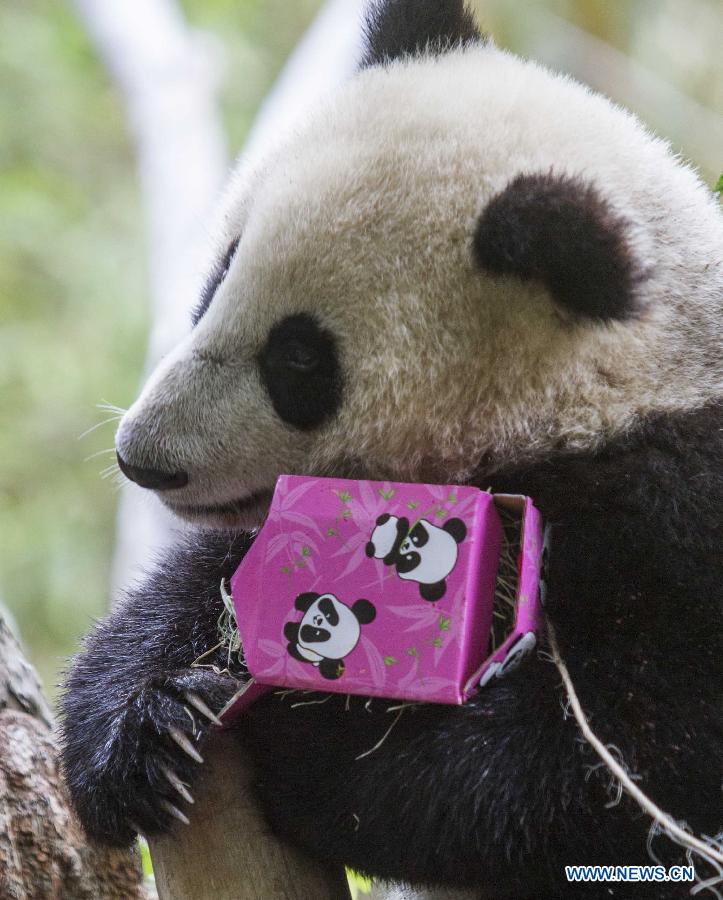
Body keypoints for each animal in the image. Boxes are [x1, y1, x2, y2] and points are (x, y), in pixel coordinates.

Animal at [59, 3, 720, 896]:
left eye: (299, 360)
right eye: (220, 275)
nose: (142, 457)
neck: (617, 386)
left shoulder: (678, 519)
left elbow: (624, 769)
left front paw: (302, 739)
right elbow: (221, 581)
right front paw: (149, 730)